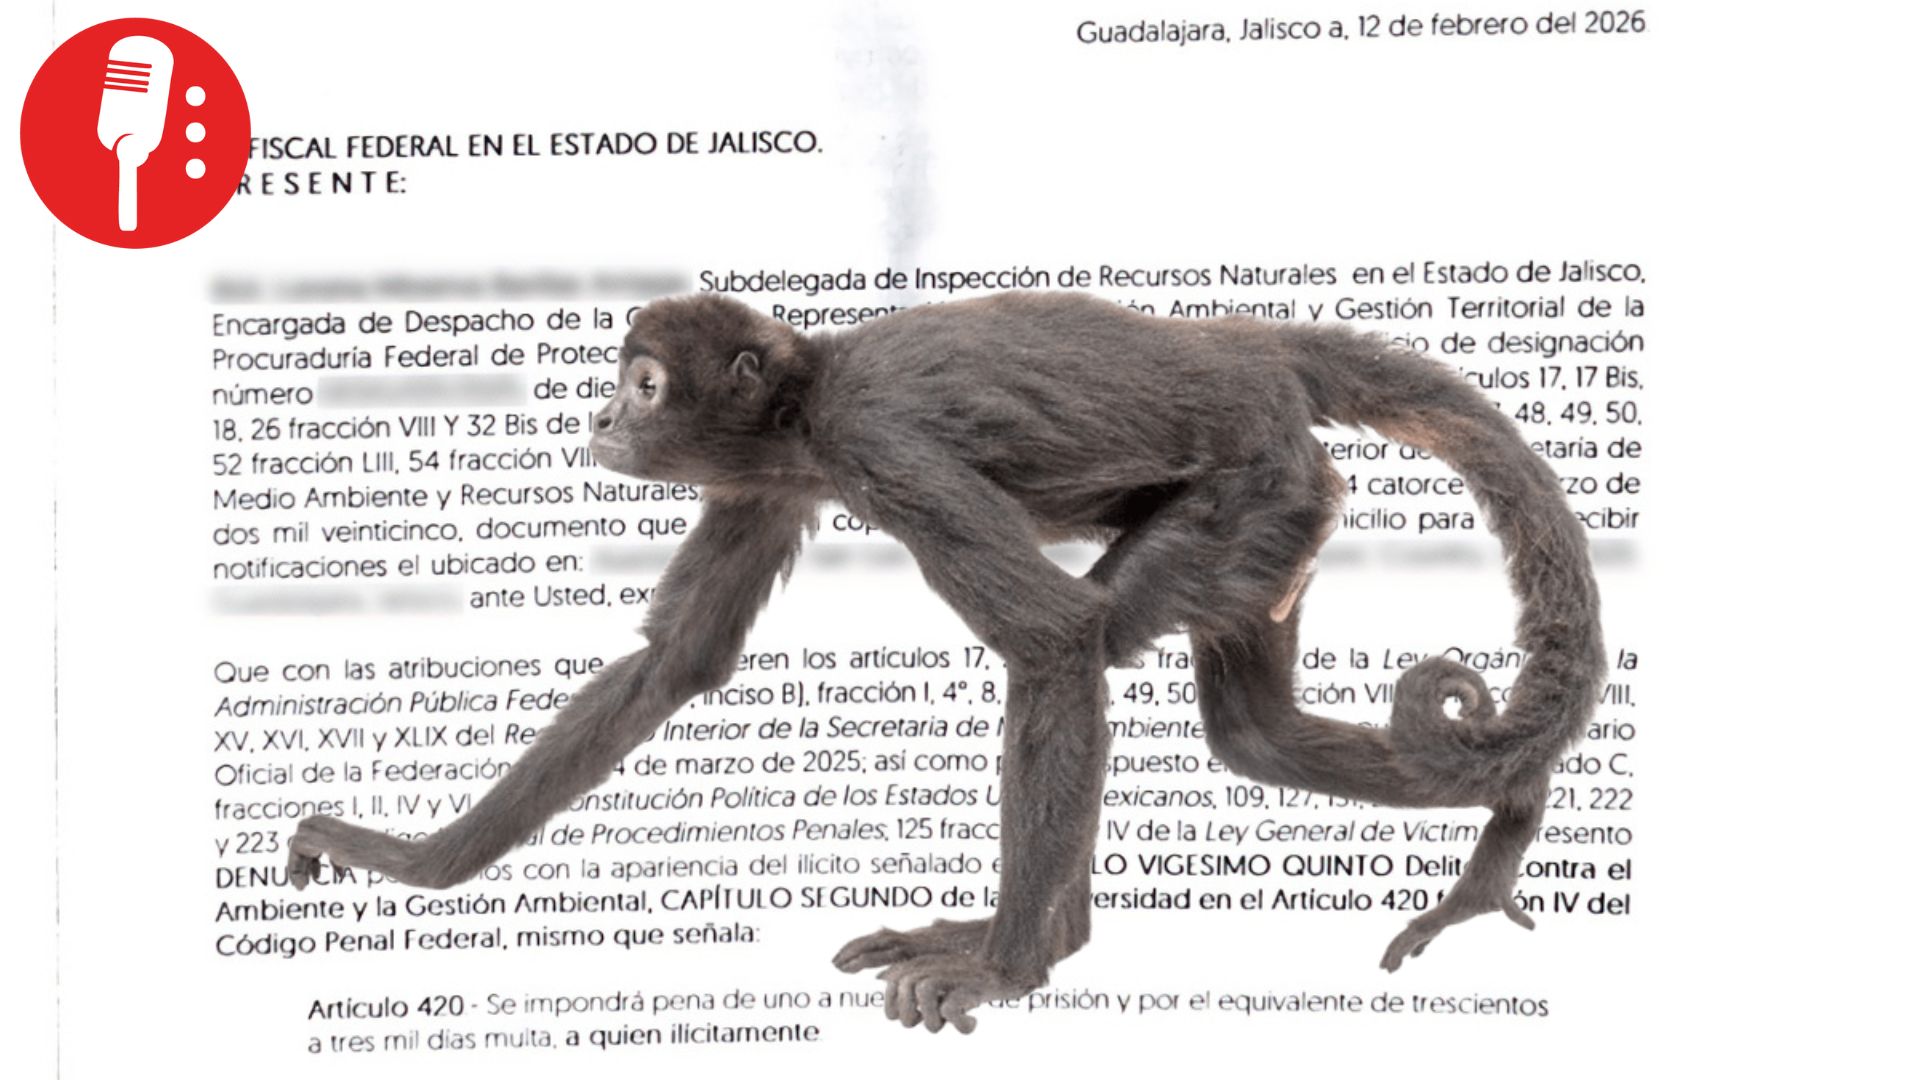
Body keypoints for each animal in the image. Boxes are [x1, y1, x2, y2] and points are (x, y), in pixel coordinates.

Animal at [287, 290, 1605, 1034]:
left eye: (643, 384)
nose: (602, 420)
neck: (808, 394)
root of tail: (1249, 350)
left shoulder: (872, 442)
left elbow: (1056, 641)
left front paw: (1008, 975)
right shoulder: (772, 475)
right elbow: (674, 667)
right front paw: (411, 862)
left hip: (1254, 490)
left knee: (1098, 643)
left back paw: (1031, 945)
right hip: (1285, 519)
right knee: (1255, 734)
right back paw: (1513, 808)